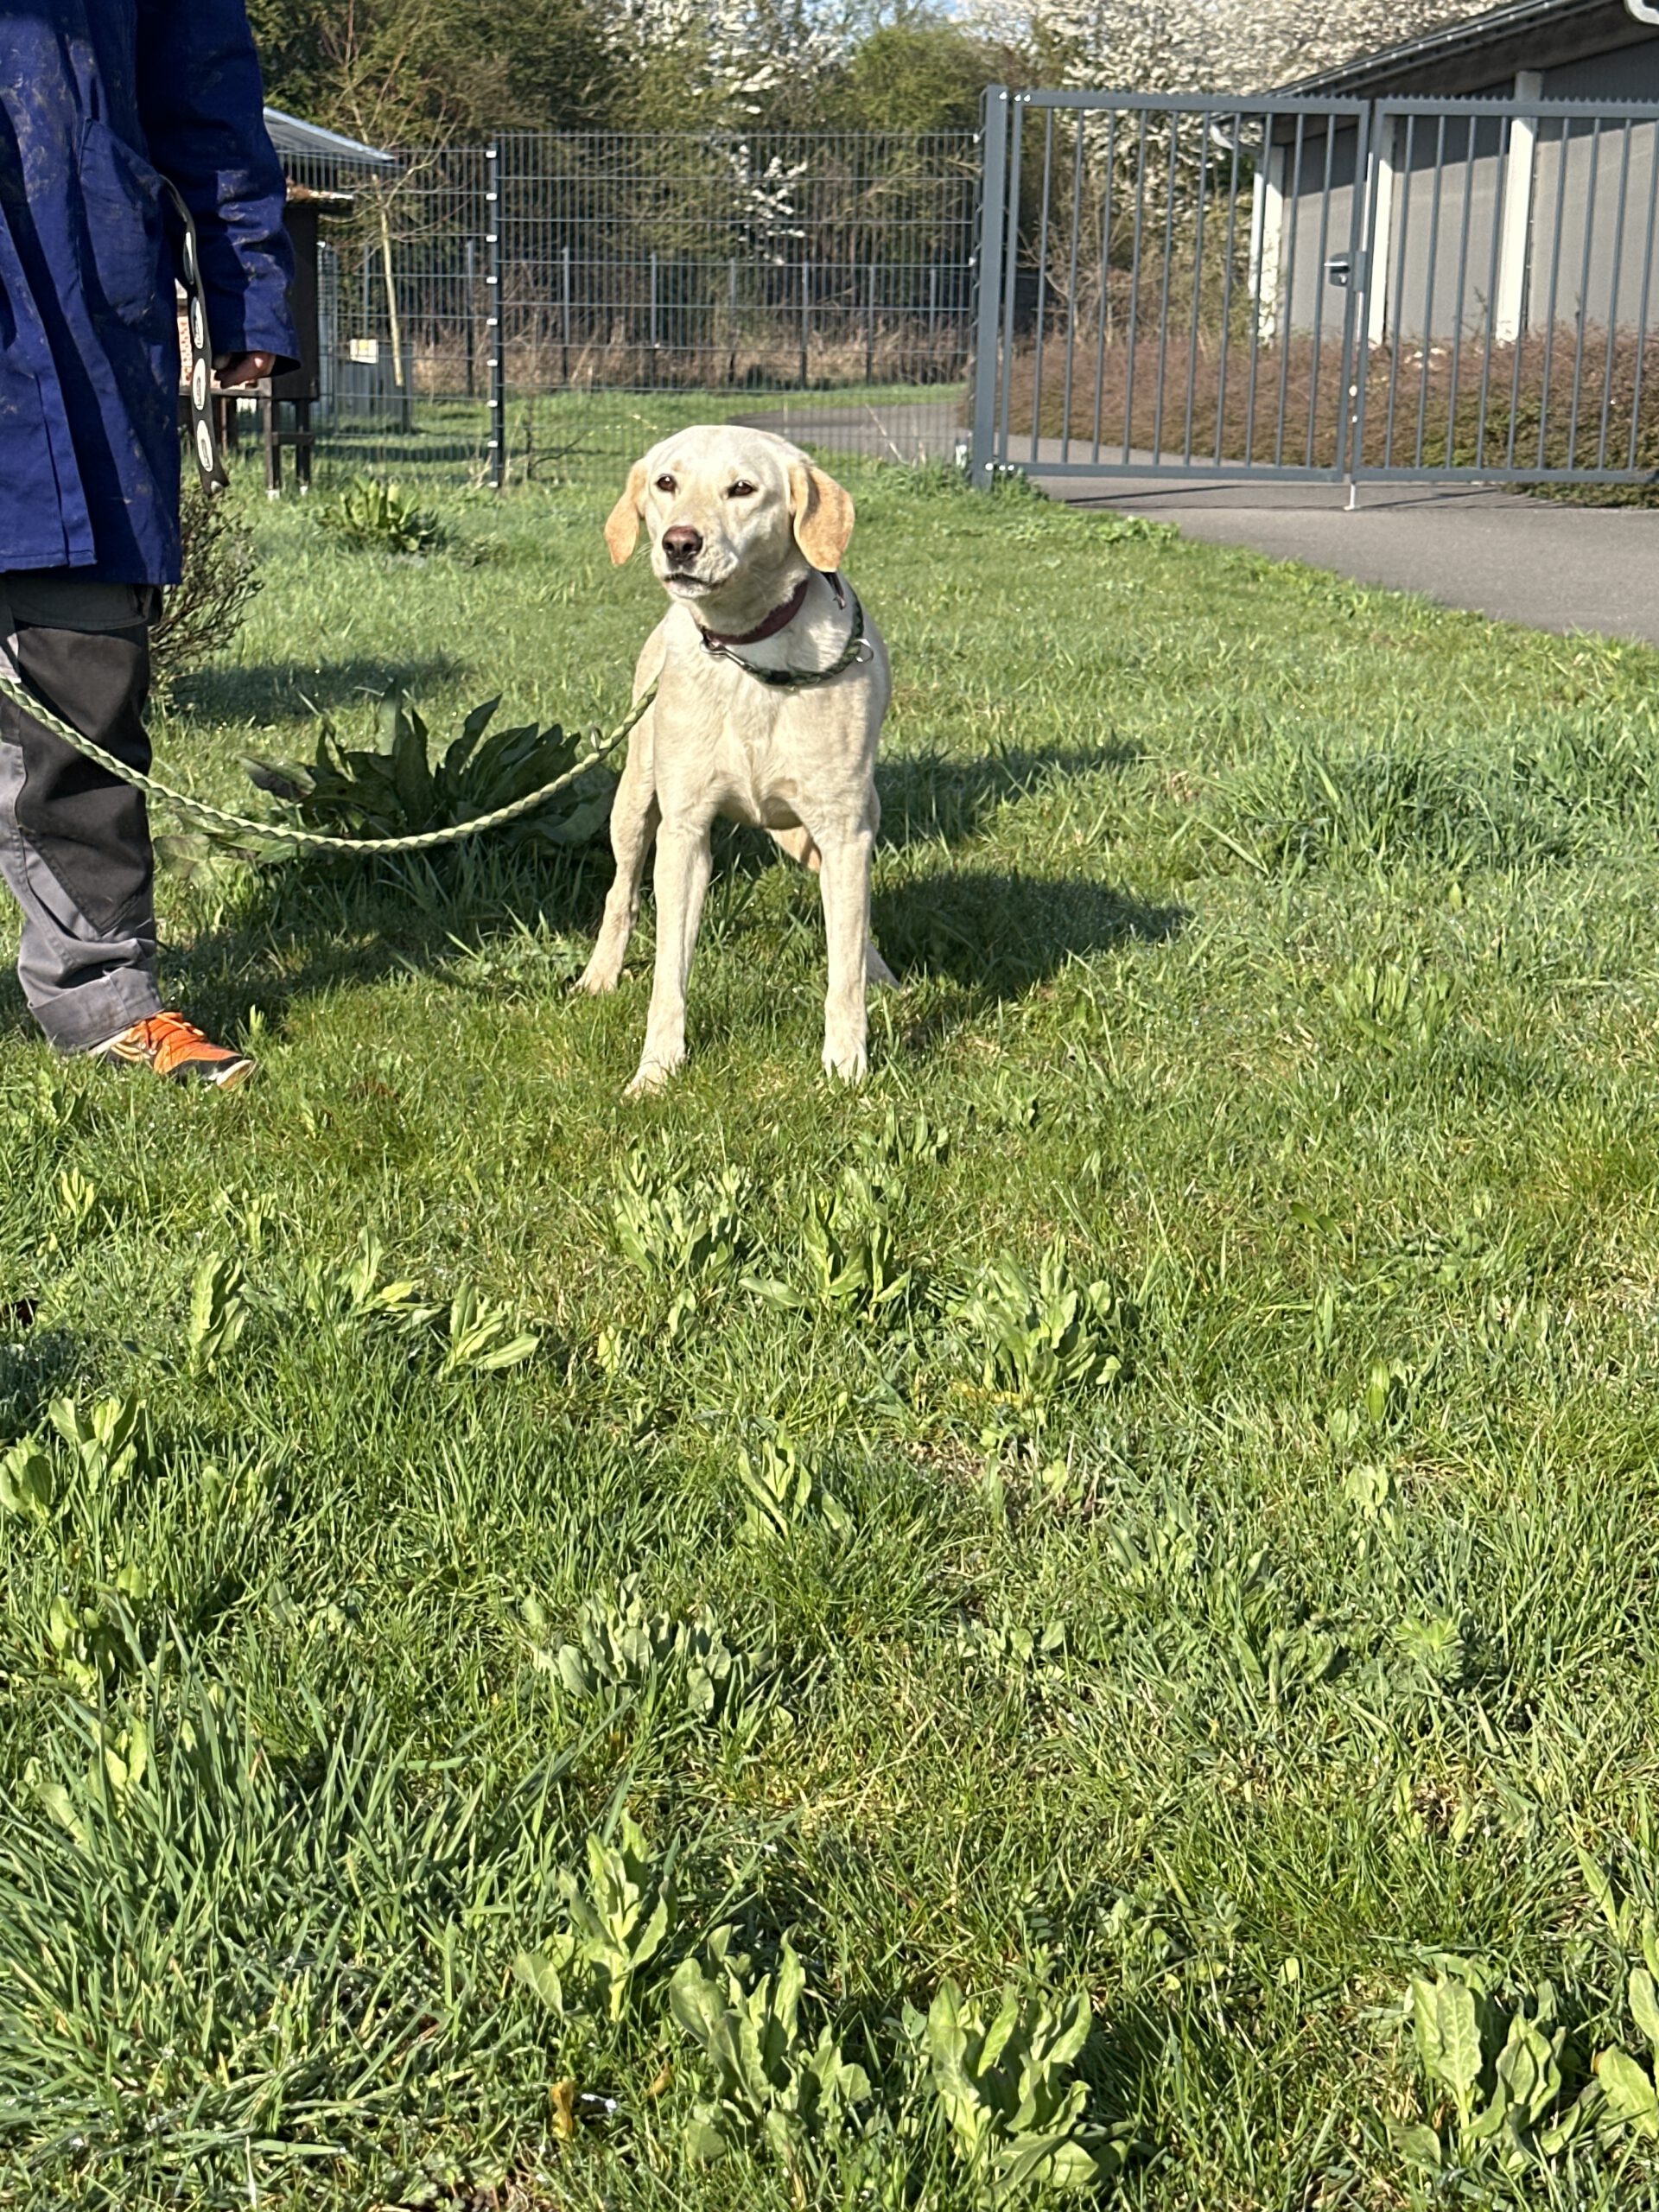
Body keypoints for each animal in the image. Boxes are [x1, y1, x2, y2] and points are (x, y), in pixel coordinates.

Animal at [577, 424, 893, 1097]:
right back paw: (599, 976)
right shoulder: (685, 833)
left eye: (743, 489)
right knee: (622, 891)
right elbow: (669, 973)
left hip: (839, 825)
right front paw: (656, 1071)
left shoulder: (844, 831)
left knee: (852, 919)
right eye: (666, 482)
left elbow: (844, 969)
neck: (750, 649)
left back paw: (880, 971)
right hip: (634, 801)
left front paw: (846, 1068)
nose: (679, 543)